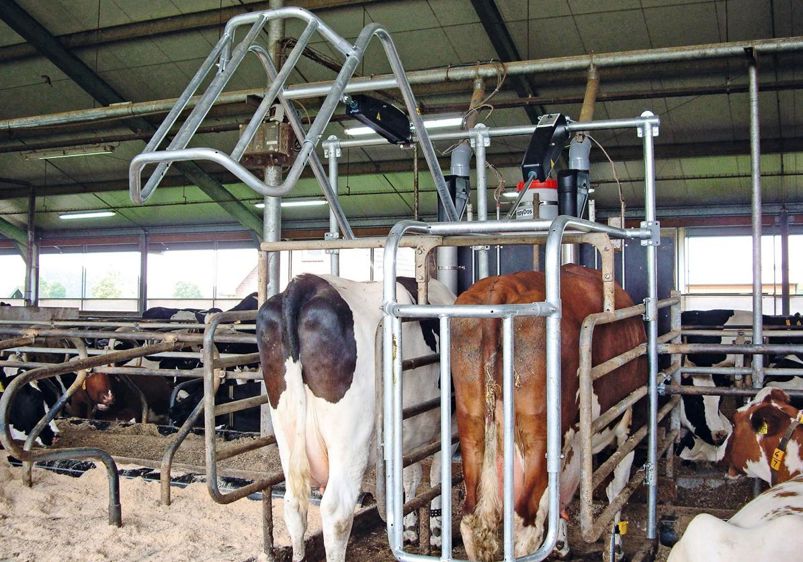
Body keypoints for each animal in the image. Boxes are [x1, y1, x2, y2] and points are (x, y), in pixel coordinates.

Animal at [256, 274, 455, 562]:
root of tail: (307, 284)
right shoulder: (450, 426)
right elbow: (439, 476)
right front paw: (438, 534)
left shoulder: (409, 431)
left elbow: (411, 475)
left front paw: (409, 530)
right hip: (349, 441)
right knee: (336, 512)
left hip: (286, 430)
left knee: (294, 505)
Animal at [450, 264, 646, 561]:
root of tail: (502, 286)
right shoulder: (628, 421)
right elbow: (618, 488)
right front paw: (614, 548)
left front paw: (561, 544)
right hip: (538, 440)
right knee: (526, 524)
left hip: (472, 432)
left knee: (472, 521)